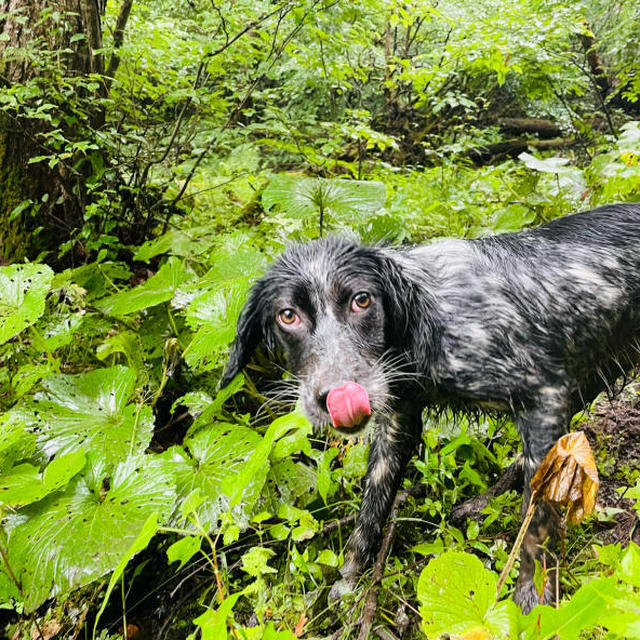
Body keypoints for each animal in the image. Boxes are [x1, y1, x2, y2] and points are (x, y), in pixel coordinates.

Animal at [221, 204, 640, 608]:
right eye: (287, 315)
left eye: (362, 300)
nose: (340, 395)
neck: (425, 325)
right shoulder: (397, 421)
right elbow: (370, 510)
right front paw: (348, 582)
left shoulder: (545, 396)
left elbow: (535, 522)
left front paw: (532, 602)